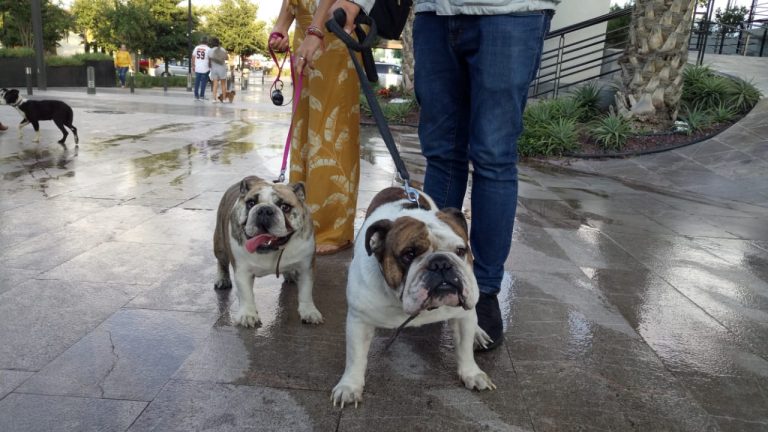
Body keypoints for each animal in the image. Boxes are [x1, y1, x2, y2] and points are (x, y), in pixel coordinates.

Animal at [212, 176, 322, 328]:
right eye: (251, 203)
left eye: (285, 207)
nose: (264, 210)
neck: (272, 250)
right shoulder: (242, 270)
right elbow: (246, 293)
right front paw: (248, 314)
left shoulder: (306, 268)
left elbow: (306, 291)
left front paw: (309, 312)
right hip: (220, 244)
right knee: (221, 262)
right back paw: (222, 279)